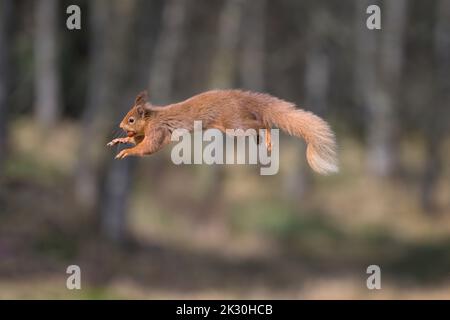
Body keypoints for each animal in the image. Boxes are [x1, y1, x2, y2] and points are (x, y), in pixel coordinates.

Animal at [106, 89, 338, 175]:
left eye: (131, 119)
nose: (120, 126)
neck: (152, 117)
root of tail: (239, 98)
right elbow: (139, 142)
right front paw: (119, 141)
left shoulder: (158, 131)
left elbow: (147, 147)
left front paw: (126, 152)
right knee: (260, 122)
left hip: (235, 125)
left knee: (262, 123)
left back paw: (267, 137)